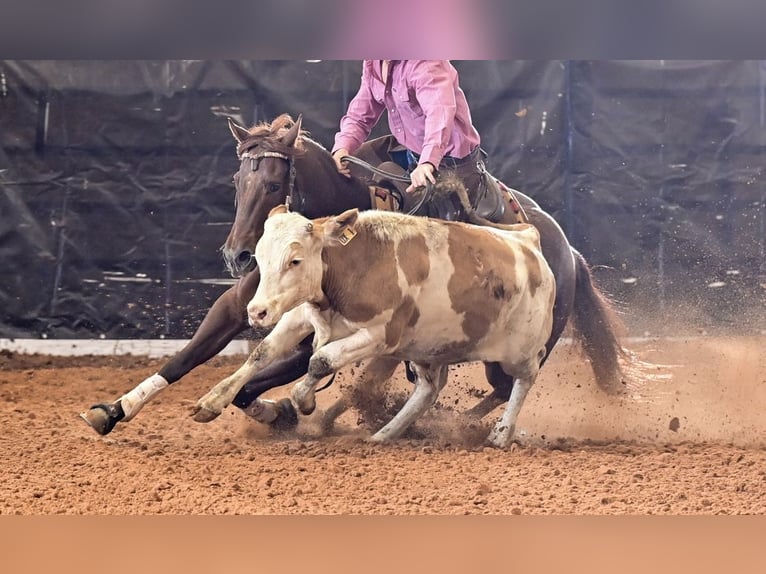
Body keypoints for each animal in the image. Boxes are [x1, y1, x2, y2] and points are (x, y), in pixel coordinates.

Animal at [81, 113, 630, 436]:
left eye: (275, 181)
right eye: (237, 179)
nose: (238, 256)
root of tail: (565, 249)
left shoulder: (320, 333)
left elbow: (273, 377)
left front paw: (277, 410)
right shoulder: (241, 307)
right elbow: (188, 359)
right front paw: (114, 409)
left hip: (509, 345)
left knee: (499, 385)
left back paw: (447, 423)